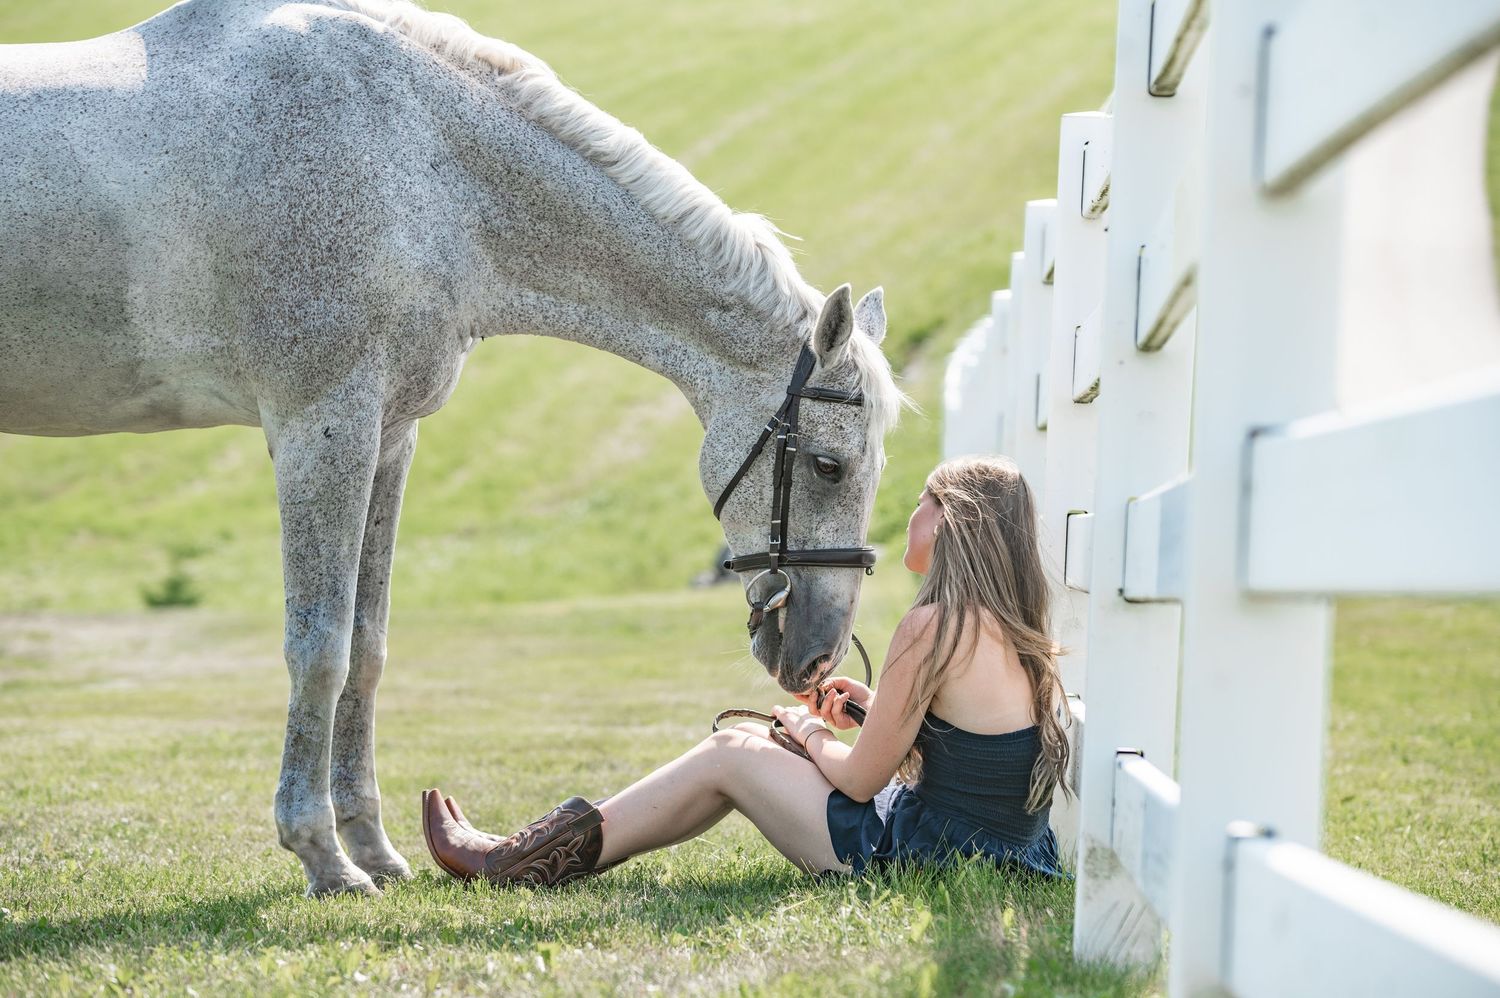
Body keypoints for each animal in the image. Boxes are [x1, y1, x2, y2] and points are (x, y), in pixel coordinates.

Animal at [0, 0, 903, 895]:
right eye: (828, 466)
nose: (819, 656)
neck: (417, 163)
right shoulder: (321, 429)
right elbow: (319, 647)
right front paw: (322, 856)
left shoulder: (387, 438)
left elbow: (366, 647)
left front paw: (371, 846)